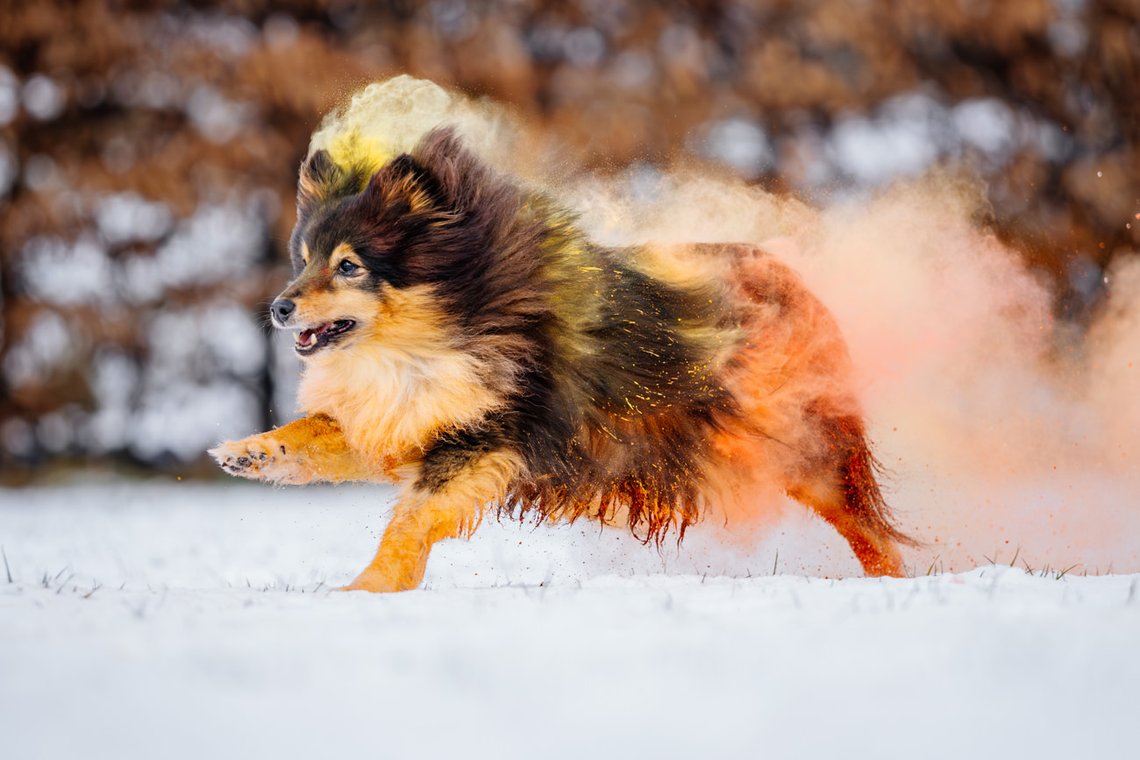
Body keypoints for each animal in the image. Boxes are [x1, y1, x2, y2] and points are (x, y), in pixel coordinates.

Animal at [209, 89, 912, 592]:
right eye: (302, 260)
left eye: (350, 266)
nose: (278, 307)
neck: (441, 334)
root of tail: (793, 280)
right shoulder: (414, 415)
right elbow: (320, 434)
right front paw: (252, 453)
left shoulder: (490, 433)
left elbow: (412, 517)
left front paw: (371, 586)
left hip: (807, 451)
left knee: (870, 528)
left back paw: (893, 584)